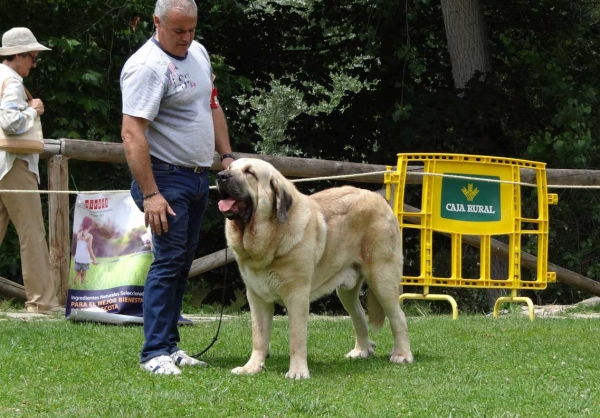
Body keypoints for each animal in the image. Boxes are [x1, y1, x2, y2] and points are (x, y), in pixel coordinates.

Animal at [216, 158, 412, 378]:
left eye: (250, 172)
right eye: (229, 168)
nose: (221, 176)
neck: (272, 237)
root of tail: (379, 199)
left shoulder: (297, 296)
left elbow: (296, 337)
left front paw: (297, 372)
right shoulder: (257, 296)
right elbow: (258, 336)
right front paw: (251, 367)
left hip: (382, 278)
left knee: (398, 317)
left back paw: (402, 355)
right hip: (347, 292)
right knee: (359, 316)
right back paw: (361, 351)